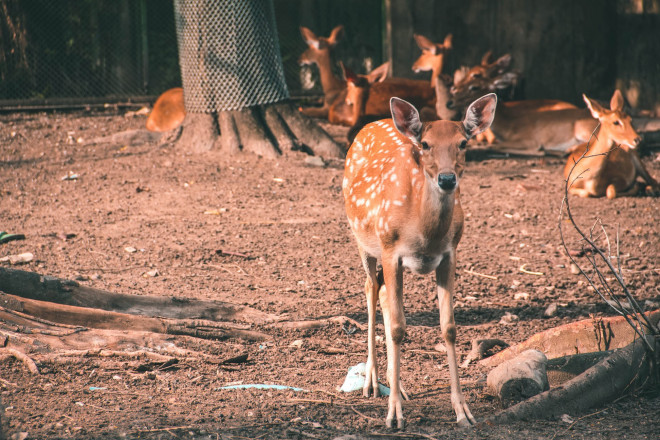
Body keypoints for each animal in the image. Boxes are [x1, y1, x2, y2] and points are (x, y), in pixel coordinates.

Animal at [342, 93, 498, 430]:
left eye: (463, 142)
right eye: (425, 144)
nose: (447, 179)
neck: (424, 233)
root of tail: (375, 121)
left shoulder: (450, 254)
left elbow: (449, 327)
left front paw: (463, 411)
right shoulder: (390, 250)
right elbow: (399, 327)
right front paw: (394, 415)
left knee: (382, 293)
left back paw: (395, 383)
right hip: (363, 239)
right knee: (370, 289)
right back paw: (372, 381)